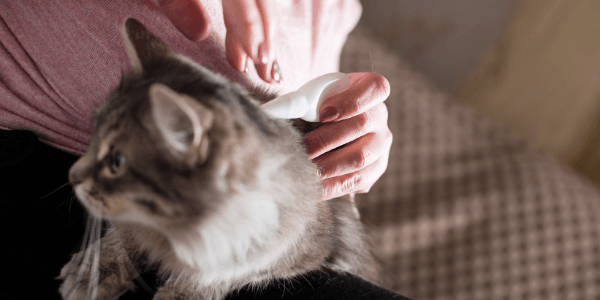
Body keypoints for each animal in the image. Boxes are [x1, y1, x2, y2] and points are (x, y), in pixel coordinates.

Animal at [58, 18, 378, 300]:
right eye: (93, 133)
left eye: (117, 161)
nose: (72, 175)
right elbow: (123, 236)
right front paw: (94, 272)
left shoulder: (293, 250)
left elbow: (220, 273)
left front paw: (182, 294)